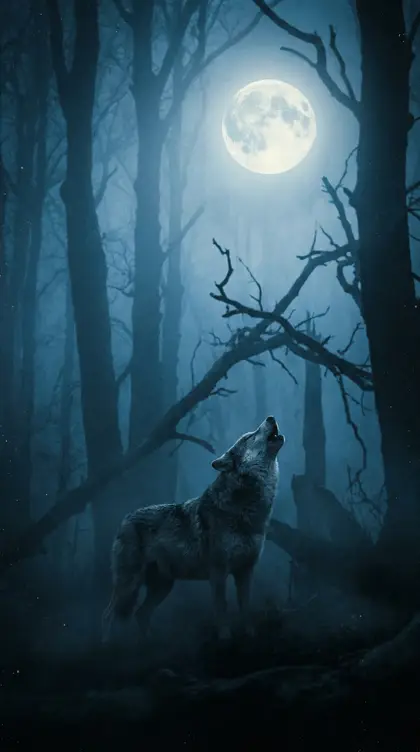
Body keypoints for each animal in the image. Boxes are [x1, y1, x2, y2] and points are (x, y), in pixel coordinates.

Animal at [102, 416, 285, 642]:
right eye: (250, 436)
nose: (271, 417)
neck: (245, 508)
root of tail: (125, 518)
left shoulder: (246, 570)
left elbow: (245, 608)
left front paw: (250, 635)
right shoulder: (218, 571)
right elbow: (222, 608)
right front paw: (225, 639)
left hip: (163, 585)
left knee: (141, 613)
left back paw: (151, 642)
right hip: (130, 585)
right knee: (108, 615)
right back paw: (106, 646)